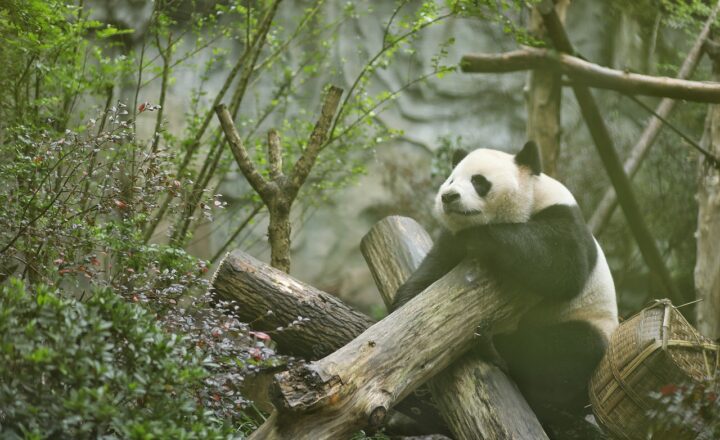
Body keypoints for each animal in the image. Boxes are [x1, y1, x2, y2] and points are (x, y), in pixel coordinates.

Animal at [393, 141, 618, 439]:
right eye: (451, 179)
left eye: (478, 181)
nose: (448, 196)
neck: (529, 203)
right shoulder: (451, 243)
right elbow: (432, 271)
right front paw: (401, 311)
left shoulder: (563, 216)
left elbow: (562, 264)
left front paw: (483, 238)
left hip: (588, 322)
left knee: (564, 350)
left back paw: (492, 346)